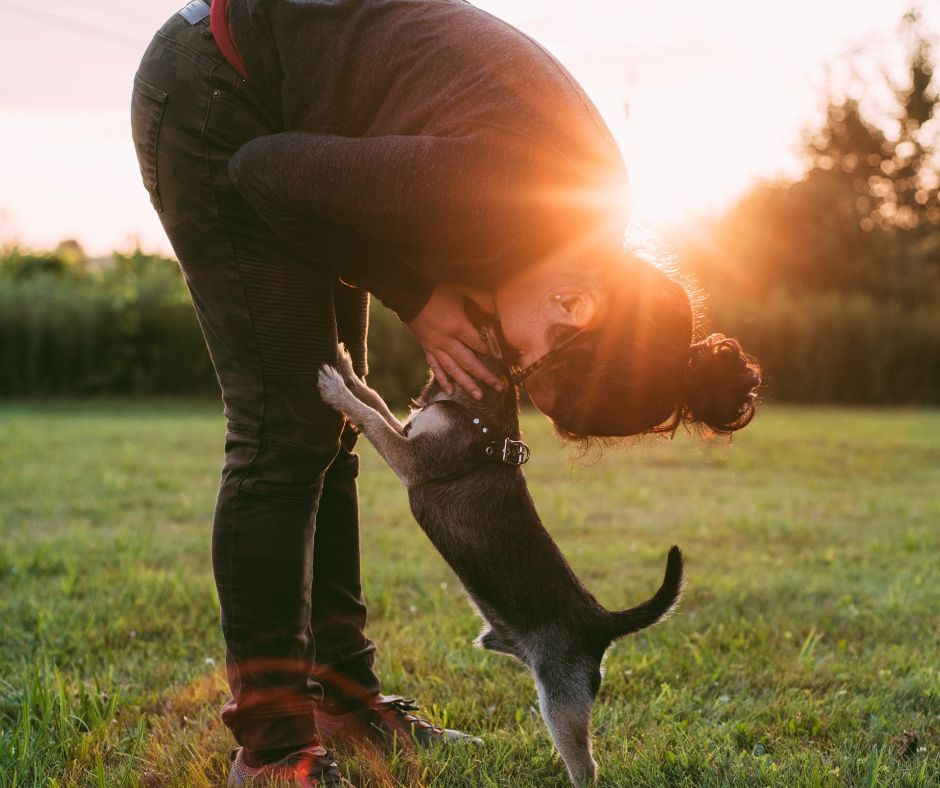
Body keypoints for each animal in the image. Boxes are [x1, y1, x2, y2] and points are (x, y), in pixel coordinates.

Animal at [318, 346, 684, 788]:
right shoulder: (407, 433)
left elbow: (371, 417)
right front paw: (348, 371)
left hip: (561, 700)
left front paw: (336, 390)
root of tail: (602, 622)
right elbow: (374, 400)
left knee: (586, 766)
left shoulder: (411, 458)